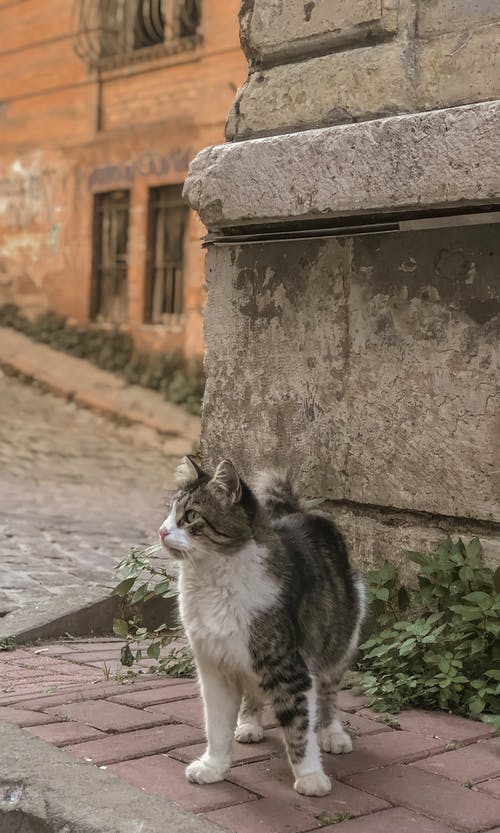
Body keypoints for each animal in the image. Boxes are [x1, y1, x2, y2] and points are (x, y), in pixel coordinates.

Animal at [160, 458, 368, 796]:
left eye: (189, 516)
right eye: (168, 512)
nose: (162, 531)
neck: (212, 582)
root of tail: (300, 512)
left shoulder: (290, 669)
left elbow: (300, 728)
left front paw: (310, 777)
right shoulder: (214, 667)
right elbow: (216, 727)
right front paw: (213, 767)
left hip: (338, 643)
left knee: (328, 697)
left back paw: (333, 734)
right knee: (253, 694)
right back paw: (248, 725)